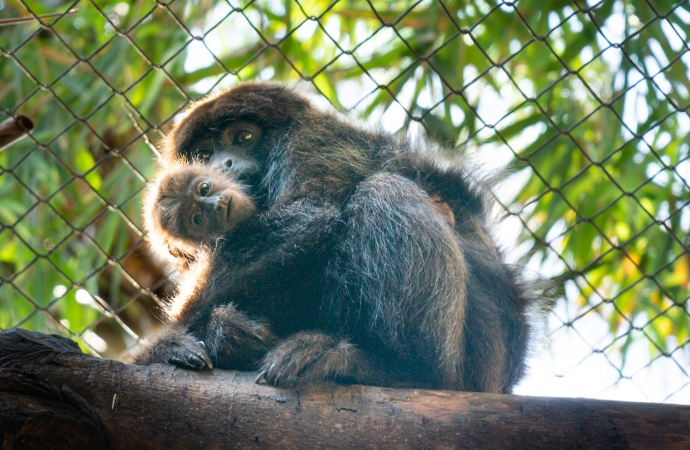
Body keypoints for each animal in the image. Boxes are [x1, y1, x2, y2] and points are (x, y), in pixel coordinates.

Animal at [134, 82, 540, 392]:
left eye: (243, 137)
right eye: (205, 153)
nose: (224, 164)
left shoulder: (312, 142)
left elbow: (312, 214)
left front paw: (157, 347)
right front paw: (188, 341)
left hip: (483, 349)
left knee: (384, 191)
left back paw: (398, 369)